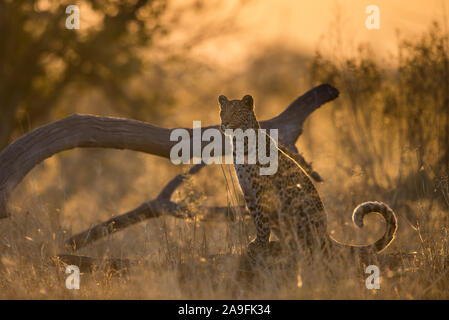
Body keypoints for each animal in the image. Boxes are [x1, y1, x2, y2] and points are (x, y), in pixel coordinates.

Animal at [217, 93, 396, 268]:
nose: (225, 123)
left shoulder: (262, 190)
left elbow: (262, 221)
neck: (239, 143)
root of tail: (326, 235)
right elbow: (255, 218)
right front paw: (257, 243)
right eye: (222, 112)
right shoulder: (248, 191)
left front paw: (260, 245)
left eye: (235, 112)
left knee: (309, 248)